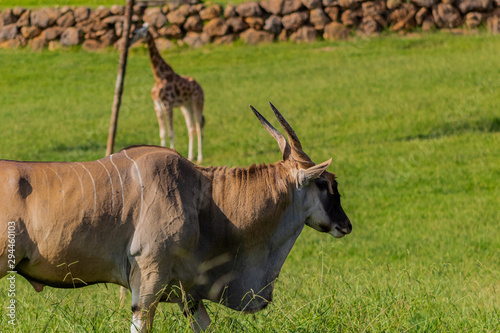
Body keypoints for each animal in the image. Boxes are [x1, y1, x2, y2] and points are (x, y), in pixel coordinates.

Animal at [131, 23, 205, 162]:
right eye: (133, 31)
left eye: (137, 32)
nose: (129, 41)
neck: (159, 77)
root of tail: (200, 87)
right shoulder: (157, 106)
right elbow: (163, 133)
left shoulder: (168, 104)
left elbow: (171, 133)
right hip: (185, 106)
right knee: (191, 128)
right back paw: (190, 156)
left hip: (198, 104)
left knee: (199, 128)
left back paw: (200, 158)